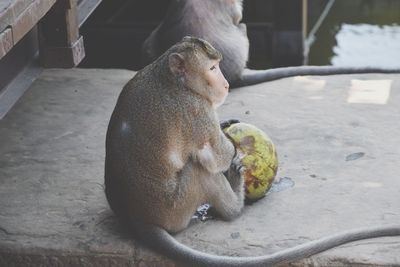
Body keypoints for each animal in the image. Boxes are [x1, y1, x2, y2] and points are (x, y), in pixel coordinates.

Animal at [105, 36, 400, 267]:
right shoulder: (196, 109)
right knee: (200, 171)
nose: (225, 83)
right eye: (212, 68)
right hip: (176, 209)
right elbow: (218, 156)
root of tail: (139, 218)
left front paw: (226, 125)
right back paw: (235, 203)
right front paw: (229, 145)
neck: (171, 78)